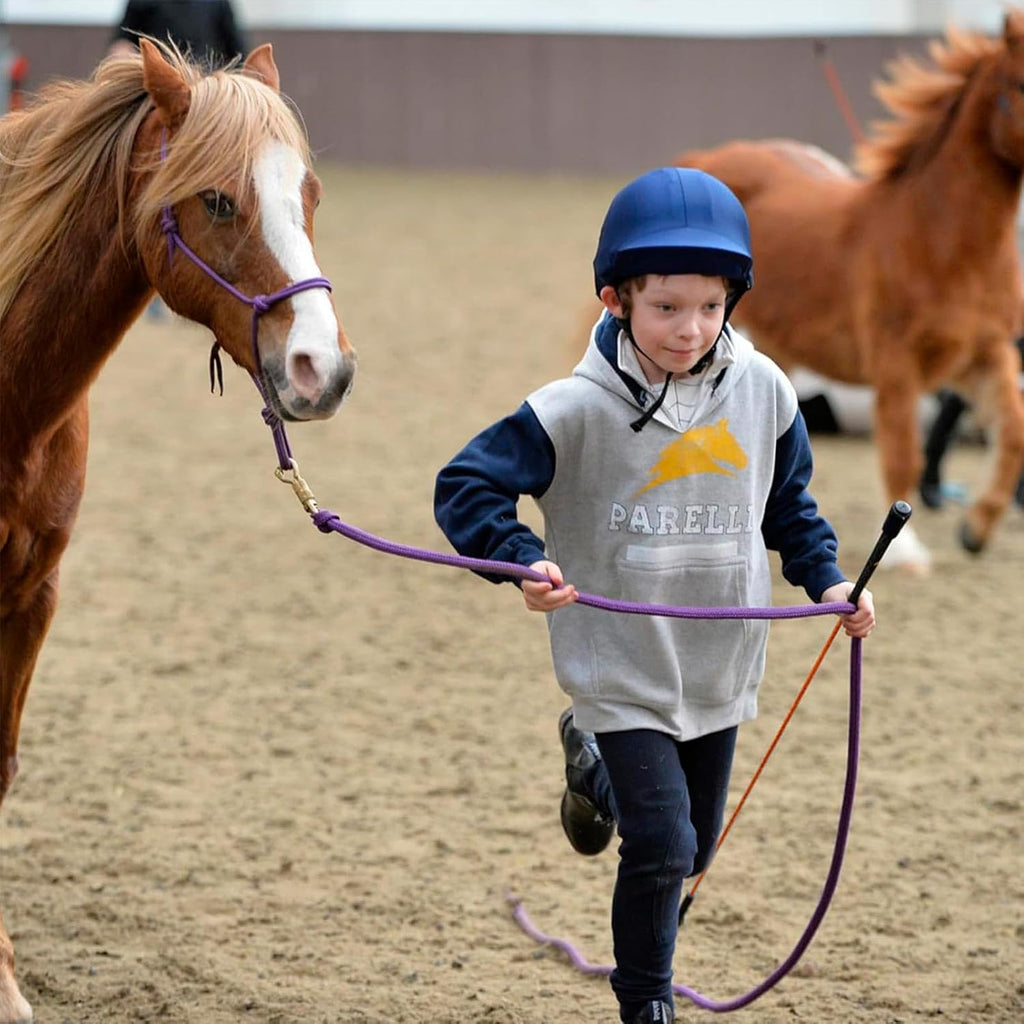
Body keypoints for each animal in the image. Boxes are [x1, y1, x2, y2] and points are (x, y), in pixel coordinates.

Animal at [674, 11, 1024, 572]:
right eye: (1020, 84)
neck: (942, 243)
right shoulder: (897, 366)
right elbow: (903, 453)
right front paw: (907, 552)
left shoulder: (980, 357)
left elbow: (1013, 433)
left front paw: (977, 528)